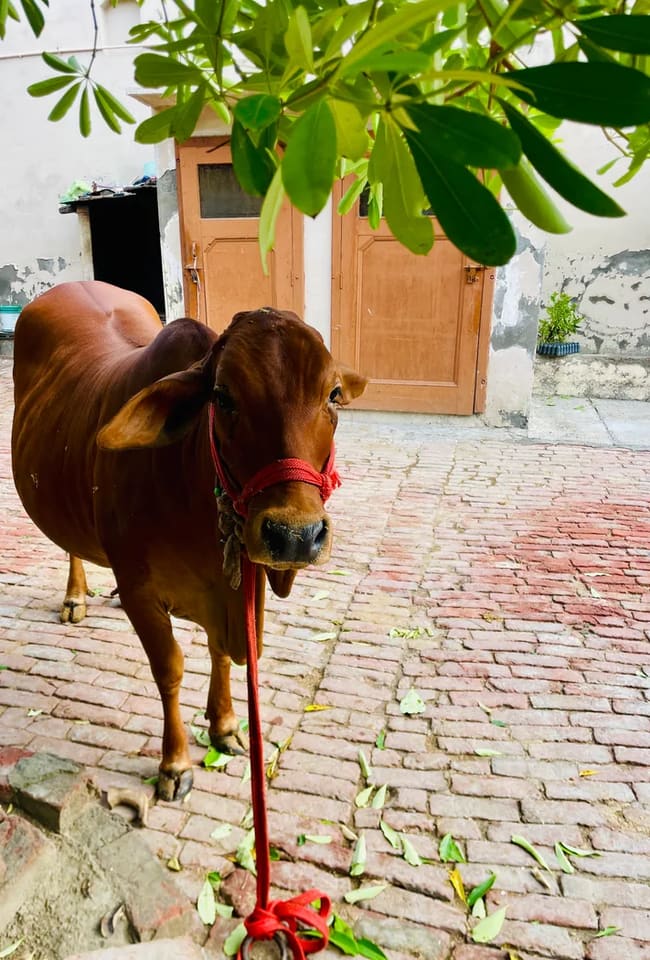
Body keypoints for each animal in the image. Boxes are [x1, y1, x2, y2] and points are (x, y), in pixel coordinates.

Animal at [11, 281, 366, 801]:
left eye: (334, 394)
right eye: (221, 396)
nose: (295, 535)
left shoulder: (228, 591)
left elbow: (220, 653)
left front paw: (224, 725)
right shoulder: (141, 593)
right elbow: (170, 669)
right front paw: (174, 763)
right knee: (70, 542)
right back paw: (75, 596)